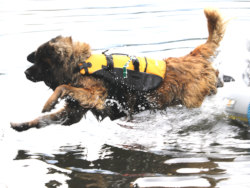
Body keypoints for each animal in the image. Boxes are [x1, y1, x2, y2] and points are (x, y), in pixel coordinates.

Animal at [10, 8, 227, 131]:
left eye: (41, 63)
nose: (25, 73)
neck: (79, 65)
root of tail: (193, 56)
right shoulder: (74, 111)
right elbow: (45, 119)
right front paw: (22, 124)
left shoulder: (95, 95)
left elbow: (61, 87)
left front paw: (49, 102)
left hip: (191, 100)